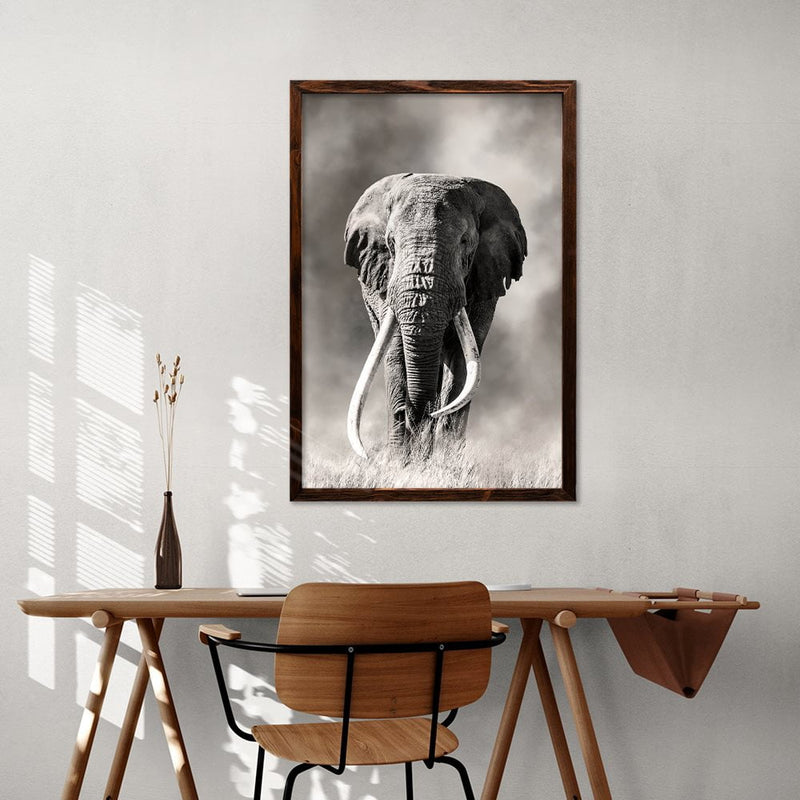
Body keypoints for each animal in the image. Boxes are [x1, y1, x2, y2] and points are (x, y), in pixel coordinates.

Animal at [344, 172, 527, 459]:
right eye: (391, 243)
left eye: (465, 243)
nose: (414, 414)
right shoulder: (385, 279)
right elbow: (396, 351)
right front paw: (401, 461)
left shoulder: (485, 279)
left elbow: (463, 360)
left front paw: (445, 459)